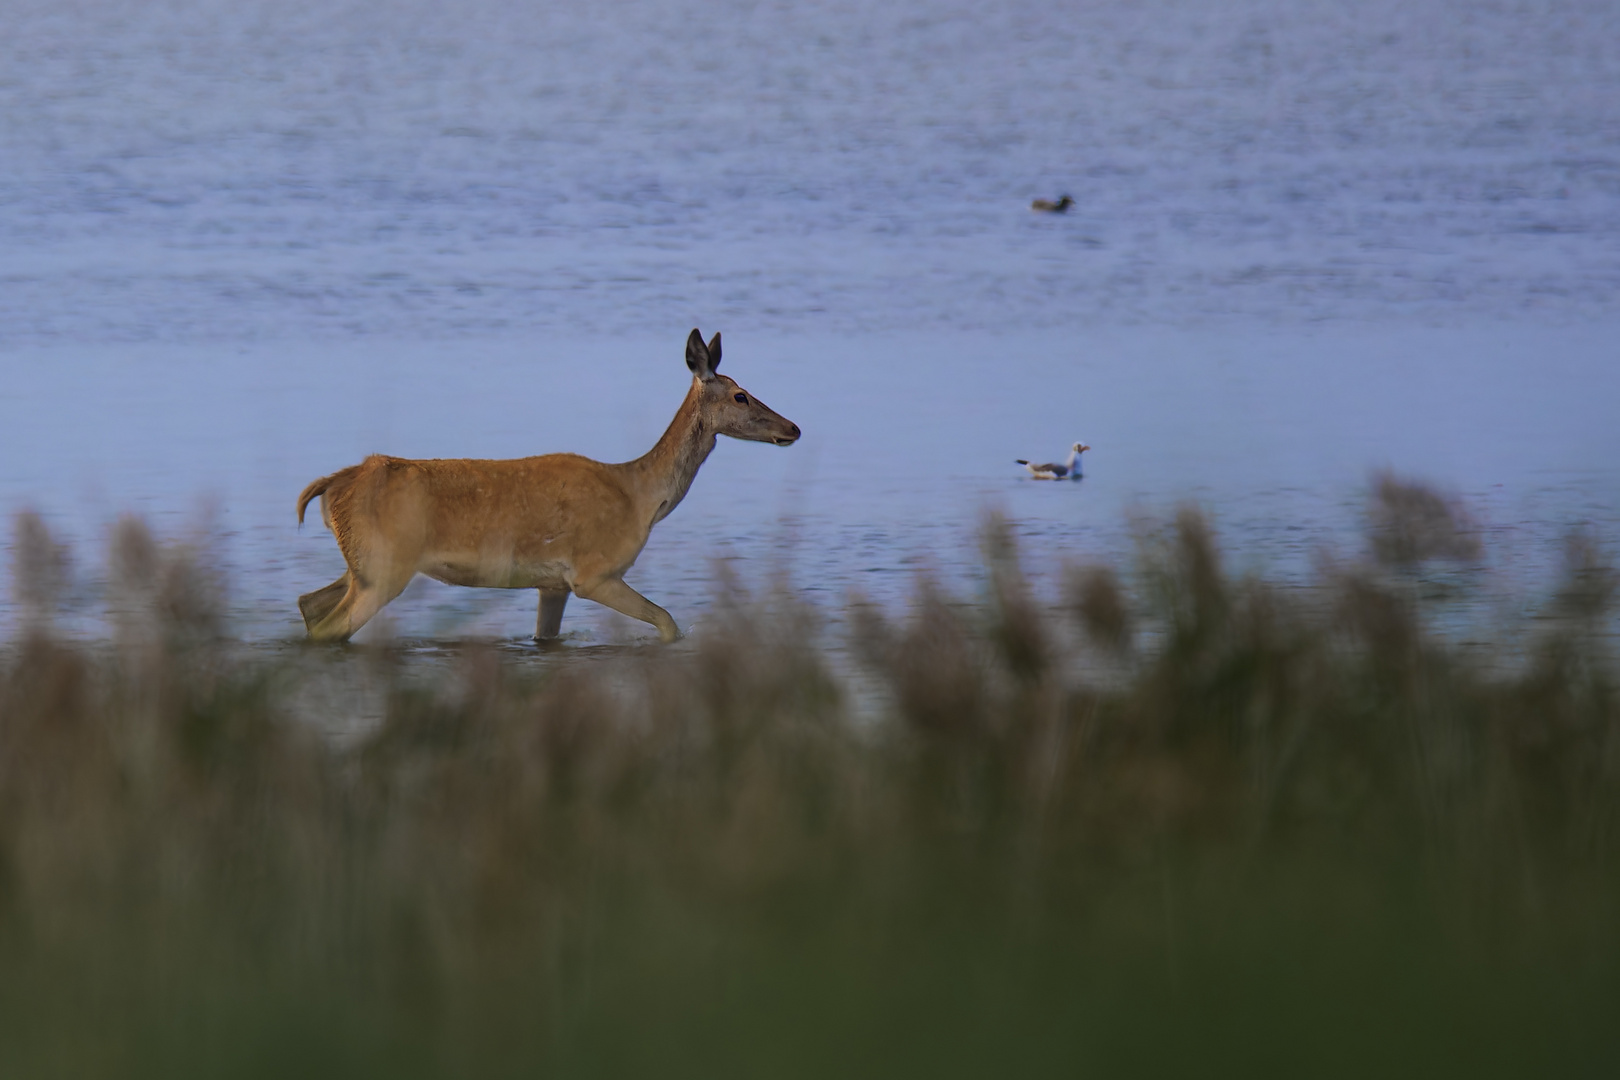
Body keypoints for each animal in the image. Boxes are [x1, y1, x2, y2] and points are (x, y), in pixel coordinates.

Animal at [294, 331, 800, 641]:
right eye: (740, 395)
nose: (793, 428)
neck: (640, 498)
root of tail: (331, 486)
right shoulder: (594, 571)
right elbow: (668, 623)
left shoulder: (553, 584)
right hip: (385, 566)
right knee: (330, 627)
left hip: (362, 564)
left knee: (307, 603)